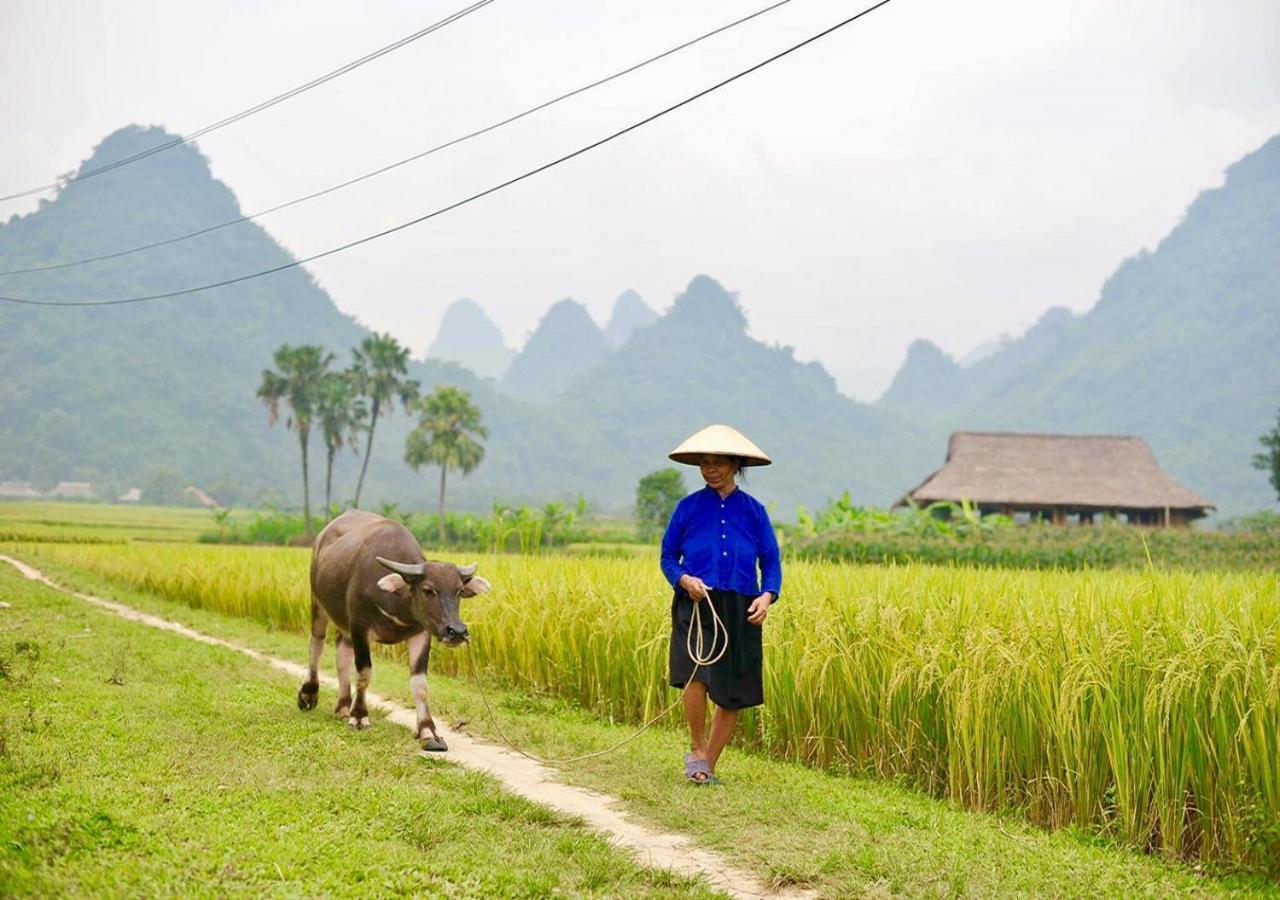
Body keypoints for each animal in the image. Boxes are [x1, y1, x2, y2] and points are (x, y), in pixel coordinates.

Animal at [296, 509, 491, 747]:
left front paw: (428, 731)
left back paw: (343, 706)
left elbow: (420, 684)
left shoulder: (421, 633)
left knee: (342, 655)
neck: (396, 603)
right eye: (428, 590)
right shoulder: (360, 627)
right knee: (316, 644)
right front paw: (359, 717)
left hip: (345, 625)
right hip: (318, 602)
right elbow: (364, 673)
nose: (457, 631)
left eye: (458, 591)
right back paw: (309, 694)